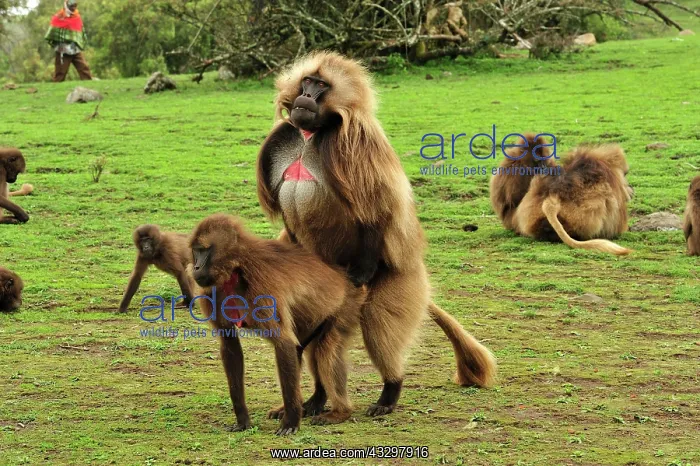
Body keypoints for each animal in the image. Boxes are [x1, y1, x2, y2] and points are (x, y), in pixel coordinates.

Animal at [189, 214, 367, 435]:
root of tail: (346, 277)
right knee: (302, 350)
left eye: (203, 250)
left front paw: (291, 423)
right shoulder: (211, 292)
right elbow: (230, 345)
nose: (195, 267)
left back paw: (340, 412)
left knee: (325, 349)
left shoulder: (262, 286)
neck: (235, 269)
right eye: (195, 251)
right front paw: (242, 420)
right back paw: (307, 404)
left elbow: (283, 341)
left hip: (347, 304)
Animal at [256, 51, 496, 418]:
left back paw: (389, 392)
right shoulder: (284, 136)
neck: (311, 135)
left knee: (375, 323)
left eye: (321, 86)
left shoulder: (355, 142)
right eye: (308, 81)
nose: (307, 96)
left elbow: (377, 209)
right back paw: (316, 400)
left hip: (396, 276)